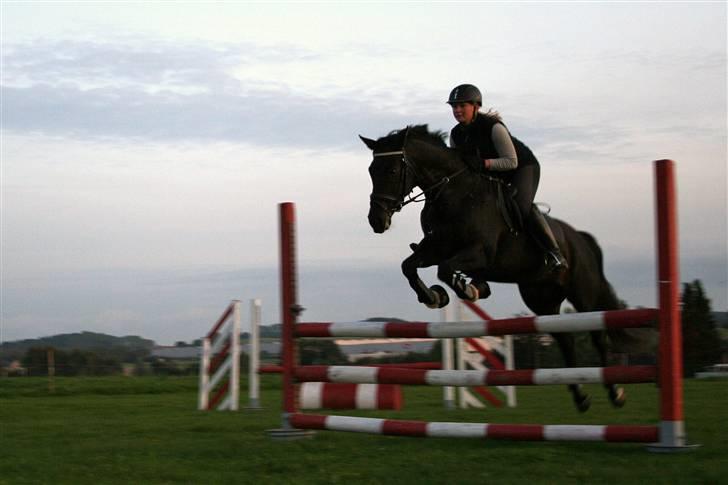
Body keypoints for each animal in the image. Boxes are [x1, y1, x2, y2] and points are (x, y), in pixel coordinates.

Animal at [360, 125, 632, 412]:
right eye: (371, 171)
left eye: (391, 171)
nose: (376, 220)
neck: (452, 193)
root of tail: (579, 237)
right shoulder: (435, 248)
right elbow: (409, 266)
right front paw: (435, 296)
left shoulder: (479, 253)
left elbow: (445, 270)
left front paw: (469, 290)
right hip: (541, 297)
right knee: (565, 339)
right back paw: (580, 397)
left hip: (582, 291)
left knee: (597, 334)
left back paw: (615, 392)